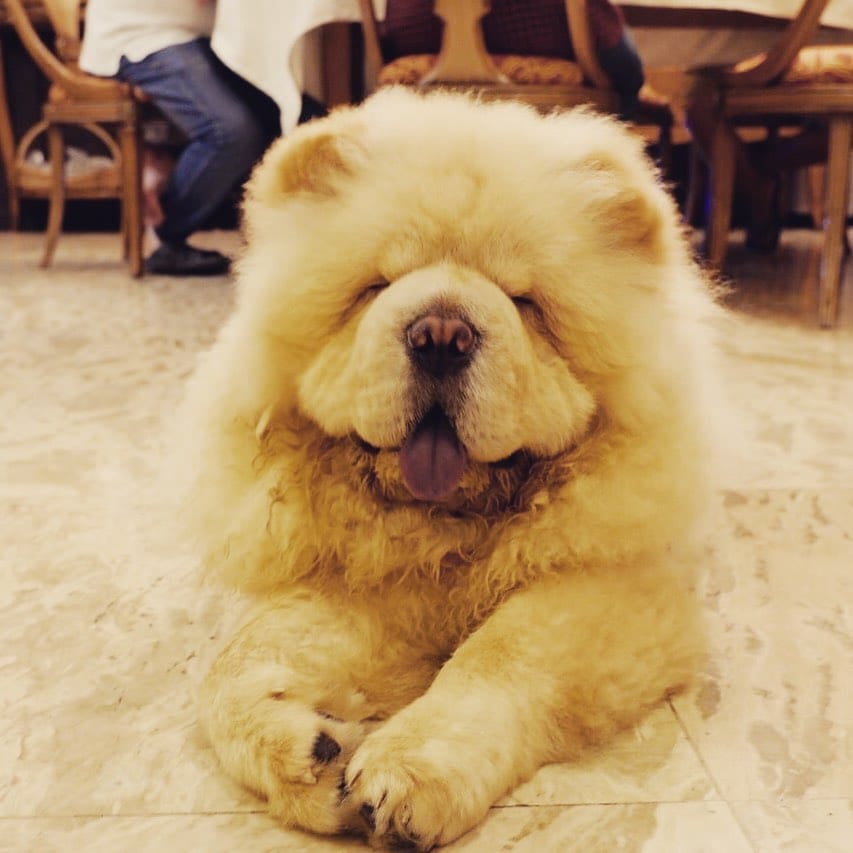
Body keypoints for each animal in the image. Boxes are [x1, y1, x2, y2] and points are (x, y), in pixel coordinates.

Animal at [175, 88, 721, 849]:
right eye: (377, 285)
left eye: (525, 301)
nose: (440, 333)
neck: (450, 528)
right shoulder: (368, 583)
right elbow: (230, 664)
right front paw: (312, 751)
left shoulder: (613, 587)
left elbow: (502, 655)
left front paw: (406, 776)